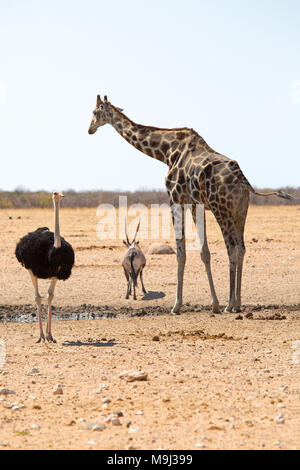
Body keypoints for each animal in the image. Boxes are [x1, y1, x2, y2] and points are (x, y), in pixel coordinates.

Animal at [87, 93, 292, 314]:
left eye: (94, 111)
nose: (89, 129)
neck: (166, 152)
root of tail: (243, 180)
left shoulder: (174, 199)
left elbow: (181, 253)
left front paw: (177, 305)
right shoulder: (195, 204)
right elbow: (204, 252)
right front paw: (214, 304)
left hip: (222, 209)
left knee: (232, 248)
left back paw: (230, 304)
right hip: (240, 210)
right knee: (242, 247)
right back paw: (237, 303)